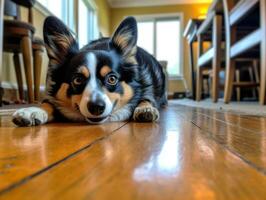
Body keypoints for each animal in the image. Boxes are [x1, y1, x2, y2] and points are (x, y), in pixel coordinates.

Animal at [12, 16, 167, 126]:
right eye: (78, 79)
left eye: (112, 79)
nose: (96, 107)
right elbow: (47, 103)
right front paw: (31, 110)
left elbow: (146, 98)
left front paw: (145, 109)